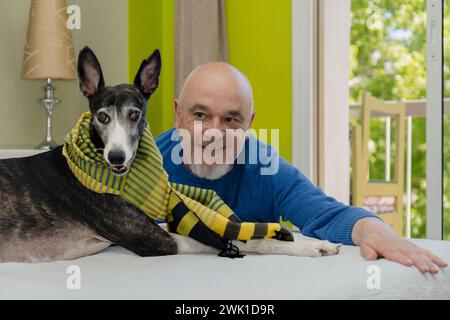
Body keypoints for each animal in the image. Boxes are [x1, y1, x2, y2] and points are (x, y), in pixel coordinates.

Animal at [0, 47, 338, 262]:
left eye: (135, 114)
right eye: (101, 116)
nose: (116, 158)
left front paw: (295, 236)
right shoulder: (155, 241)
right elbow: (245, 239)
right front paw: (313, 247)